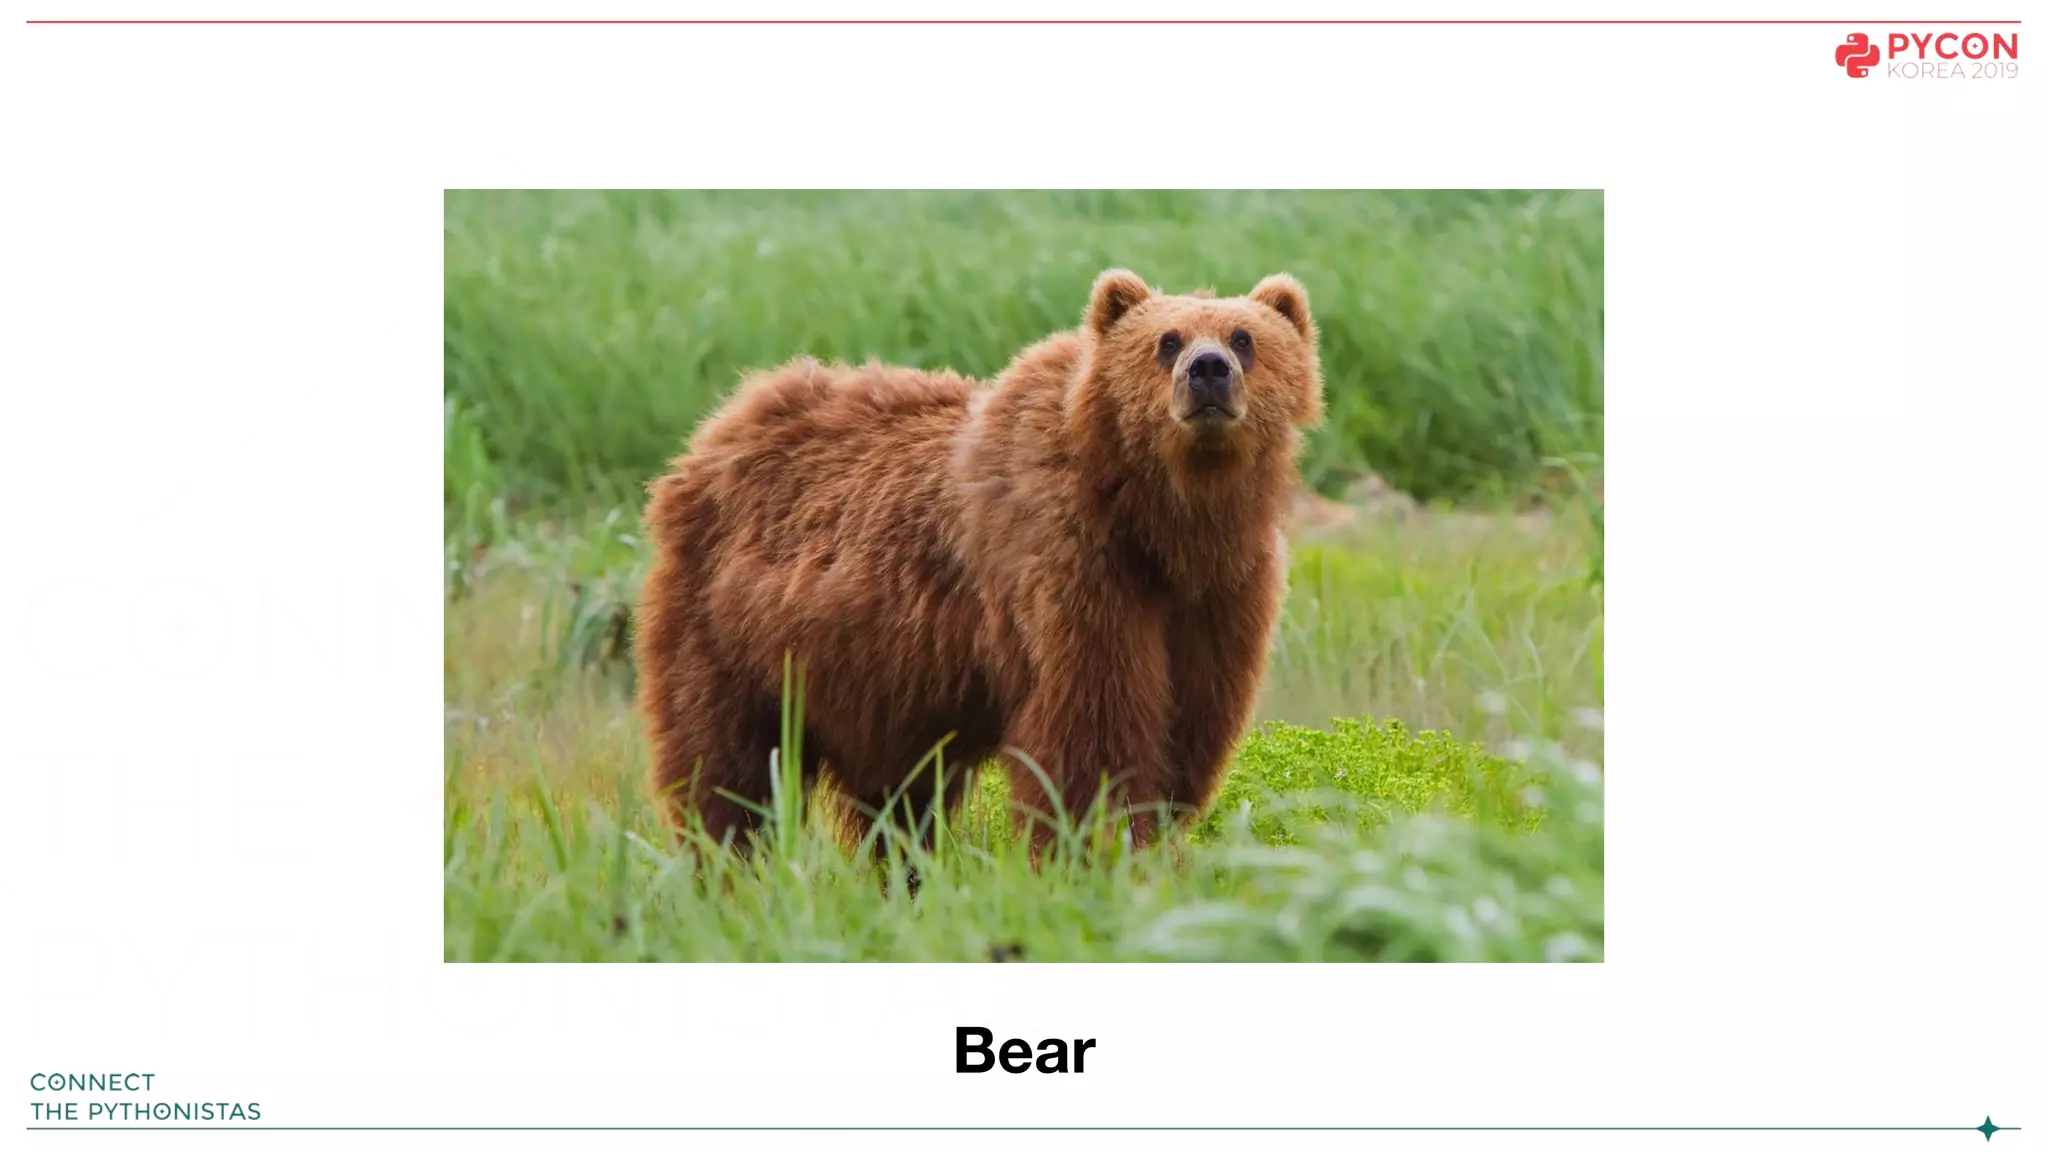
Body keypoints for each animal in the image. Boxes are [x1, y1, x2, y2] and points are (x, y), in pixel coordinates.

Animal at [634, 268, 1323, 853]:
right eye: (1166, 340)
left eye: (1244, 337)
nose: (1208, 370)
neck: (1162, 524)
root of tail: (719, 426)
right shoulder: (1072, 568)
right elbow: (1092, 735)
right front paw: (1094, 848)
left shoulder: (1219, 596)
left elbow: (1187, 729)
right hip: (730, 631)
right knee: (727, 768)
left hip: (877, 683)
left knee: (897, 801)